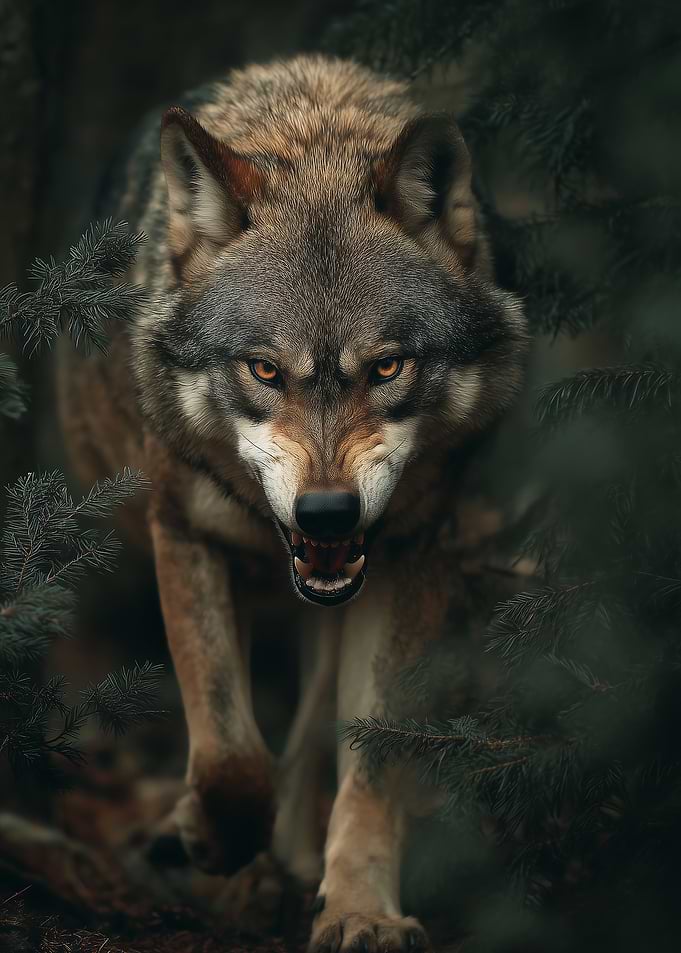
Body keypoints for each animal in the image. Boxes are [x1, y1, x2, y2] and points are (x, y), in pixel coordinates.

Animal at [59, 55, 527, 952]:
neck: (313, 132)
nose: (327, 515)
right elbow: (228, 751)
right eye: (264, 370)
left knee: (313, 731)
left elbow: (370, 763)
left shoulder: (414, 555)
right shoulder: (184, 533)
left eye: (387, 367)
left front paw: (360, 909)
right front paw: (210, 836)